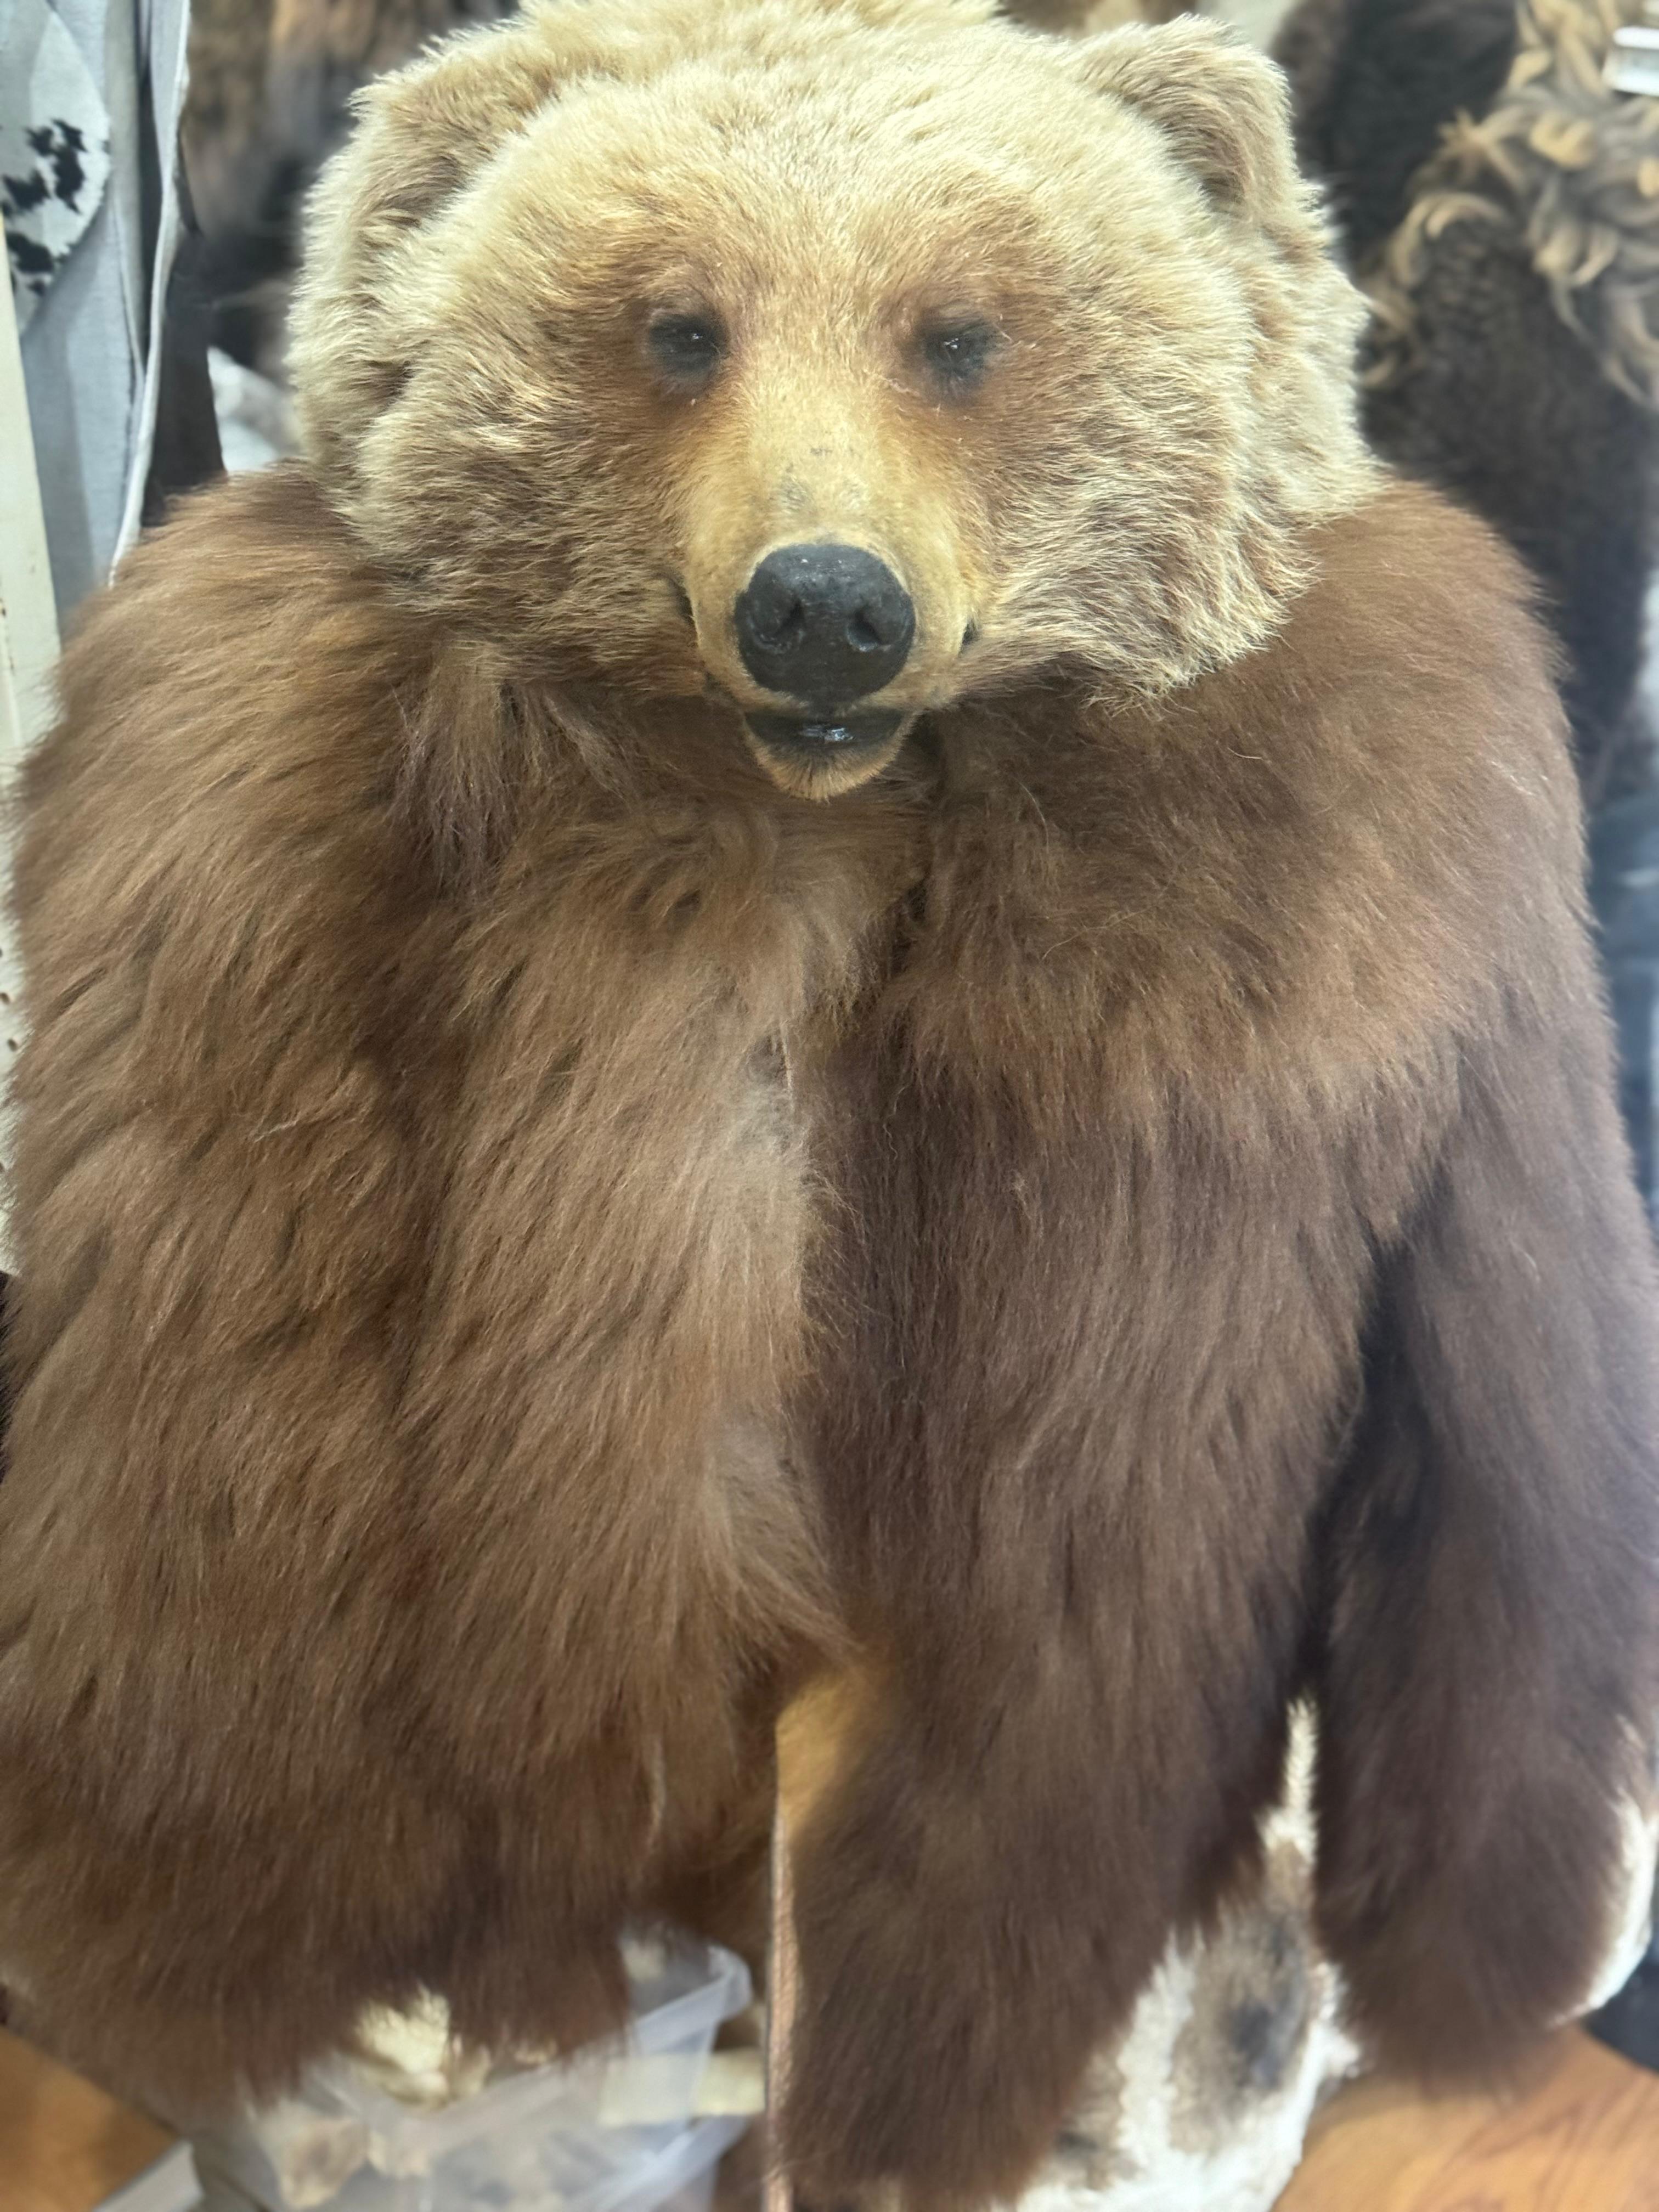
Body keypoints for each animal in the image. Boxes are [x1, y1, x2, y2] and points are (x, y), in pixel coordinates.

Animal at [1, 4, 1655, 2208]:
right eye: (675, 324)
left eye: (959, 334)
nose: (822, 604)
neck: (862, 804)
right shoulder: (232, 836)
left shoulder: (1437, 825)